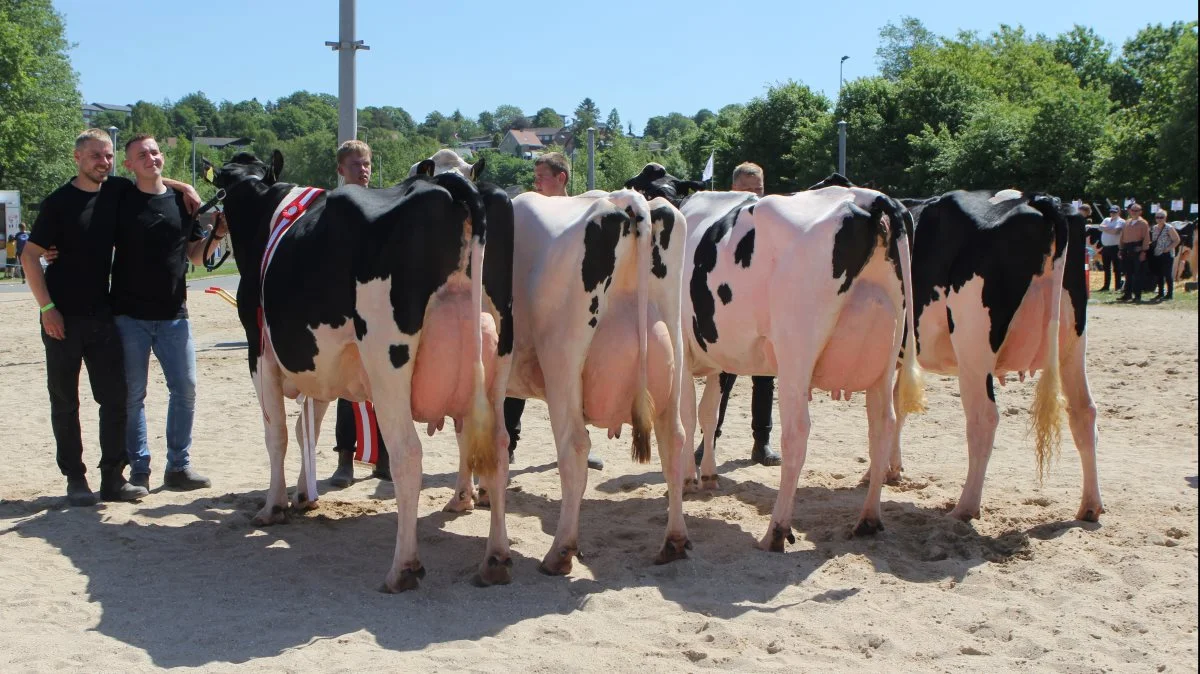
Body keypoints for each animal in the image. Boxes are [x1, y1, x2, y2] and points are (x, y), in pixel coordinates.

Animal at [213, 151, 513, 587]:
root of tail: (450, 186)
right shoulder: (319, 363)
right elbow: (308, 427)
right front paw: (303, 495)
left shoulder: (259, 351)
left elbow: (278, 434)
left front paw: (274, 505)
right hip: (497, 356)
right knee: (497, 448)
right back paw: (495, 557)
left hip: (387, 359)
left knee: (408, 453)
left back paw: (403, 567)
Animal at [648, 177, 916, 546]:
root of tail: (872, 199)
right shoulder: (719, 356)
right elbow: (710, 413)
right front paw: (709, 475)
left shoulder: (685, 349)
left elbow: (688, 415)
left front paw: (689, 479)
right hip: (886, 354)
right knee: (883, 424)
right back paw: (868, 520)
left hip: (796, 351)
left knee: (798, 431)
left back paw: (776, 530)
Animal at [902, 187, 1104, 520]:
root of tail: (1037, 200)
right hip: (1074, 342)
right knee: (1083, 412)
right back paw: (1090, 506)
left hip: (973, 346)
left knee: (983, 418)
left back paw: (965, 507)